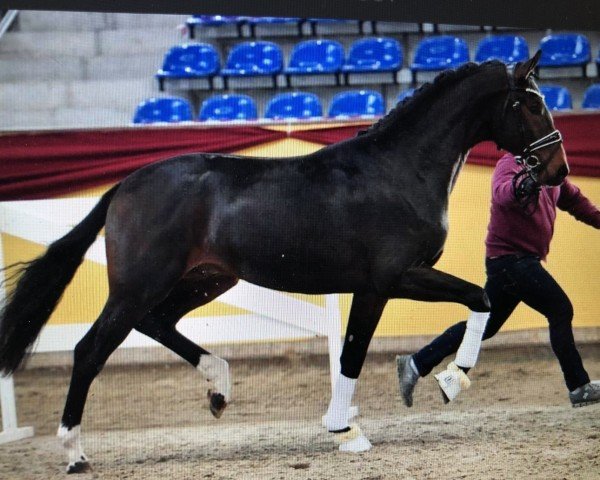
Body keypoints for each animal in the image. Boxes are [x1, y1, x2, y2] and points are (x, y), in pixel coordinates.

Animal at [0, 52, 568, 472]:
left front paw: (431, 388)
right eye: (531, 104)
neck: (397, 171)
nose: (557, 171)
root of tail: (125, 185)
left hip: (206, 279)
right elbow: (391, 337)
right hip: (141, 284)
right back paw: (75, 453)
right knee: (89, 350)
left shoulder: (382, 283)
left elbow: (475, 301)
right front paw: (364, 423)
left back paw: (219, 388)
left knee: (157, 322)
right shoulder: (389, 280)